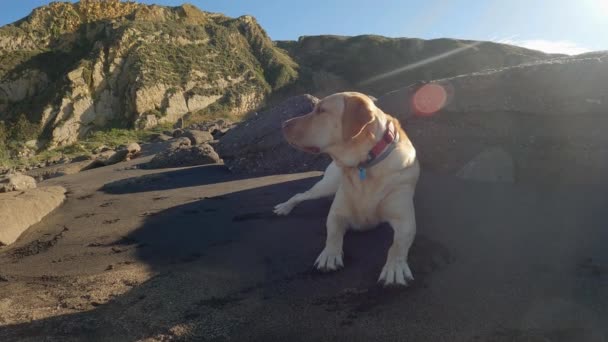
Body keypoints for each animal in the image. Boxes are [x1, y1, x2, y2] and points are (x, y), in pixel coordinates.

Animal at [274, 91, 420, 286]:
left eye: (321, 110)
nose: (283, 124)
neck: (364, 164)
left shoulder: (405, 220)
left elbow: (397, 245)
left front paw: (394, 267)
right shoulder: (337, 213)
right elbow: (333, 235)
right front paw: (329, 254)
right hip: (326, 186)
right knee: (300, 195)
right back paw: (284, 207)